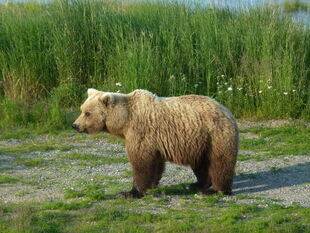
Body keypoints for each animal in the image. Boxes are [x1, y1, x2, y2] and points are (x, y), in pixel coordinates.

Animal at [72, 88, 240, 198]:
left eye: (87, 113)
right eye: (82, 109)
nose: (75, 125)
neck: (124, 121)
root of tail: (228, 111)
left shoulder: (141, 132)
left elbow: (141, 163)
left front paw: (130, 192)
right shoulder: (155, 141)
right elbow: (155, 164)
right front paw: (151, 185)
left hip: (216, 135)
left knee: (220, 162)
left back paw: (215, 190)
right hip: (199, 142)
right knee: (200, 164)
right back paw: (196, 184)